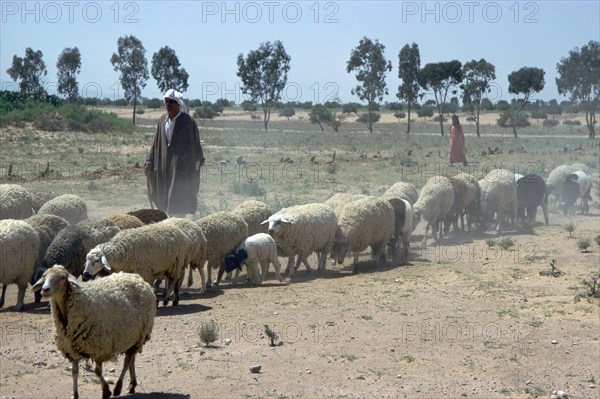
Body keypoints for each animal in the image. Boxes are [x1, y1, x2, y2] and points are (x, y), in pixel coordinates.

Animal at [31, 268, 156, 399]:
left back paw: (118, 387)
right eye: (44, 277)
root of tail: (139, 279)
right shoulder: (71, 348)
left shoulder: (99, 347)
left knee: (127, 362)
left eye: (62, 277)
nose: (45, 289)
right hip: (134, 337)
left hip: (141, 334)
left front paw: (106, 391)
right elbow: (74, 372)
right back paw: (132, 385)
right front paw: (75, 394)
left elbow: (97, 371)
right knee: (132, 359)